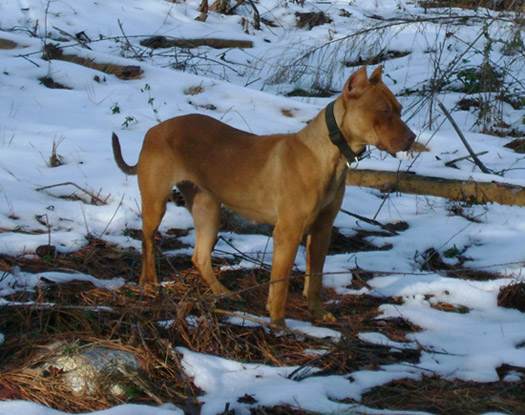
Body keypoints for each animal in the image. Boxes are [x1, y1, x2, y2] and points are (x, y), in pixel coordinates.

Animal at [111, 66, 414, 326]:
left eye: (400, 110)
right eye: (384, 111)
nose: (412, 139)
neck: (330, 154)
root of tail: (153, 130)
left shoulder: (322, 229)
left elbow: (315, 278)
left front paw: (316, 313)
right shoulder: (288, 232)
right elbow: (280, 283)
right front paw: (278, 323)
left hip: (208, 209)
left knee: (199, 257)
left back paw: (221, 291)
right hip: (156, 203)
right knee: (148, 241)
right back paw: (150, 281)